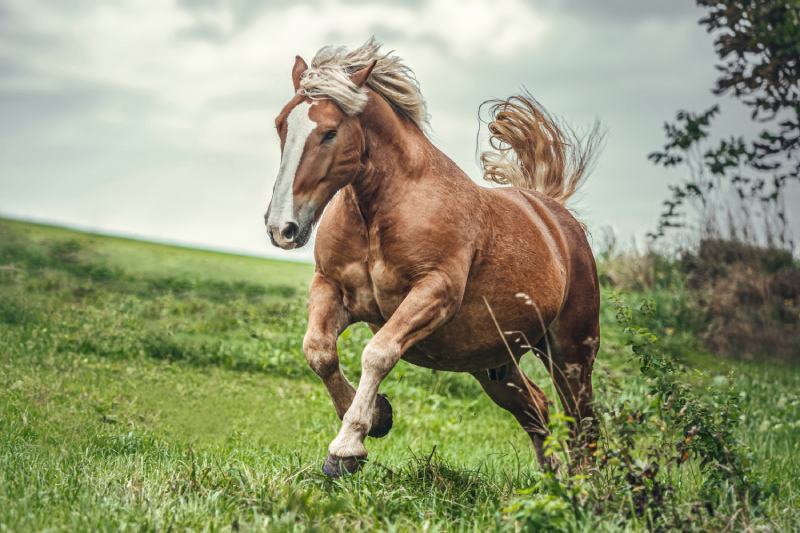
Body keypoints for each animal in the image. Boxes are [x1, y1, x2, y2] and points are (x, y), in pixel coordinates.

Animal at [265, 38, 602, 477]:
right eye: (281, 124)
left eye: (330, 132)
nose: (281, 228)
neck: (381, 213)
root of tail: (555, 215)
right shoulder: (331, 286)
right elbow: (319, 352)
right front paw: (379, 418)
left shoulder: (434, 293)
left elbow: (377, 354)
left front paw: (347, 446)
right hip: (496, 367)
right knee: (538, 410)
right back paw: (553, 479)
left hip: (571, 353)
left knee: (583, 424)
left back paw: (585, 488)